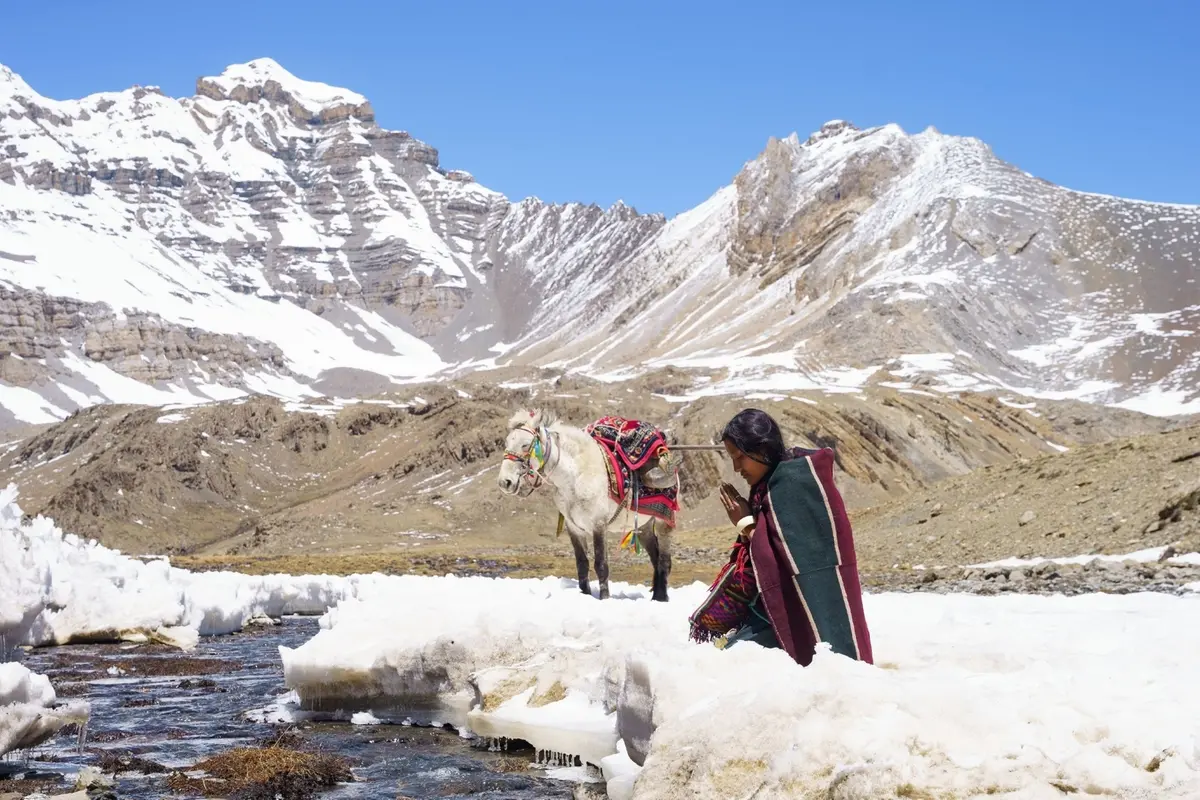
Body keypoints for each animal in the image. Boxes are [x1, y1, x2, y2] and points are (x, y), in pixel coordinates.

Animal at [492, 412, 672, 599]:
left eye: (525, 444)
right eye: (507, 443)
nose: (505, 482)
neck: (575, 476)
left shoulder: (598, 525)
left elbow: (601, 564)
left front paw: (604, 598)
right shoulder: (574, 528)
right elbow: (582, 564)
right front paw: (584, 594)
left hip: (663, 522)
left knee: (664, 559)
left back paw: (661, 598)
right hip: (643, 526)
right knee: (655, 556)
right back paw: (656, 596)